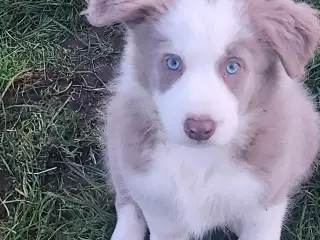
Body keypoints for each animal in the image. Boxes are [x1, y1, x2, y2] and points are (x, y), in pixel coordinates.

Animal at [81, 0, 320, 239]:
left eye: (233, 66)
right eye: (173, 63)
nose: (198, 128)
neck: (198, 160)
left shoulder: (264, 205)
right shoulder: (159, 204)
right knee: (126, 200)